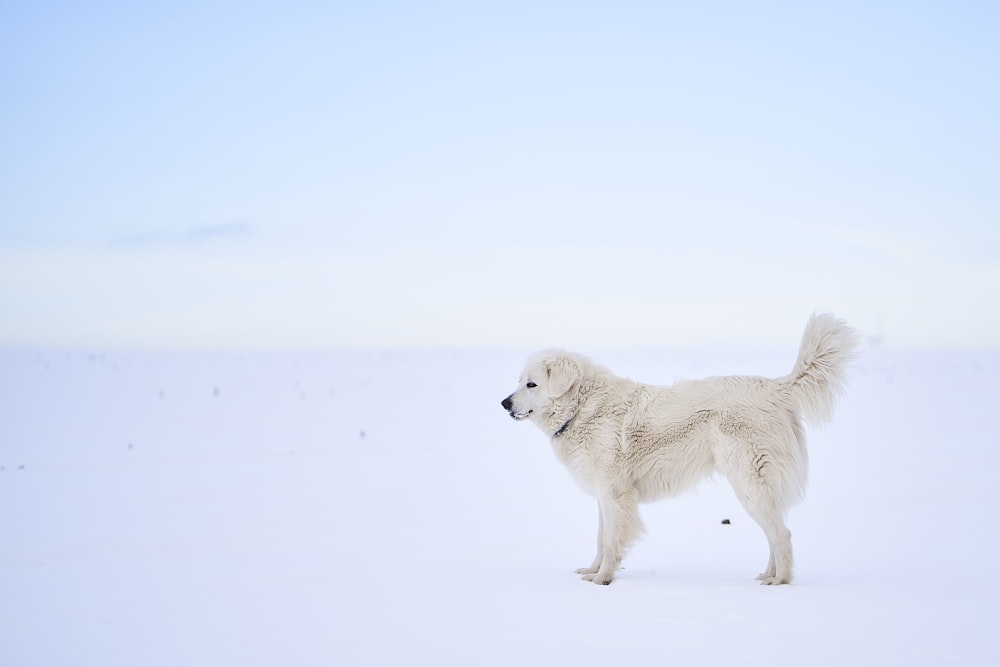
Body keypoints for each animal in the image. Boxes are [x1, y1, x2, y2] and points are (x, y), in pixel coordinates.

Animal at [500, 314, 860, 584]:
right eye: (519, 381)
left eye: (531, 384)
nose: (504, 403)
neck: (582, 407)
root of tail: (774, 387)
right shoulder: (604, 496)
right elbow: (602, 539)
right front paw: (591, 571)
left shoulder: (615, 494)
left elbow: (612, 541)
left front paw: (602, 579)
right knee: (775, 534)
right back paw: (767, 576)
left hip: (750, 484)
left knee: (782, 535)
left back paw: (780, 582)